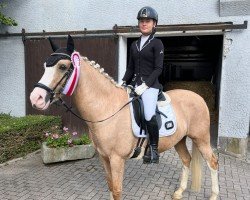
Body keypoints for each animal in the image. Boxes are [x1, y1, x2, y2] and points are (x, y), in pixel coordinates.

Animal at [29, 36, 219, 200]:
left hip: (201, 138)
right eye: (45, 66)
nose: (36, 98)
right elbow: (110, 186)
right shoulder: (104, 157)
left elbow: (117, 190)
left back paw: (213, 195)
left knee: (212, 162)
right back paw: (179, 192)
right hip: (179, 139)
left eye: (62, 66)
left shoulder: (117, 159)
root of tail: (198, 97)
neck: (107, 109)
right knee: (187, 160)